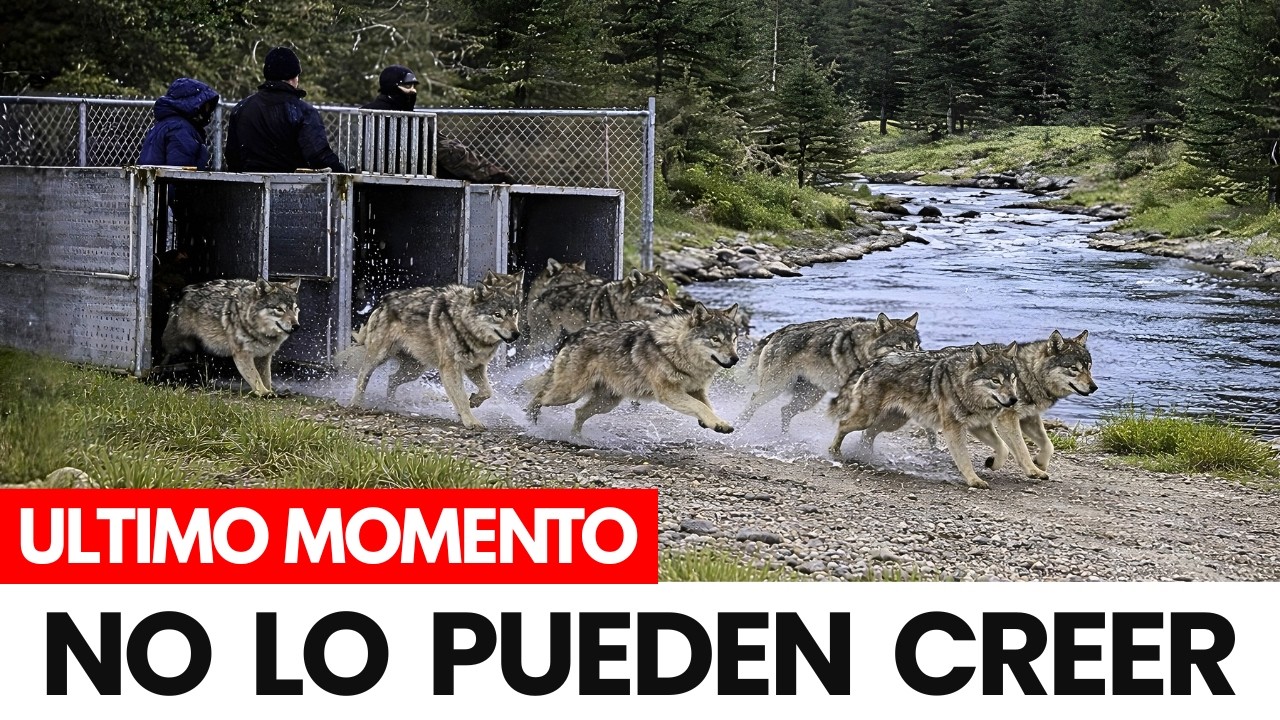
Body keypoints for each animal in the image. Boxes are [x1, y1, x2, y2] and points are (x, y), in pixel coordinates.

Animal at [159, 277, 302, 396]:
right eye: (279, 309)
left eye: (294, 308)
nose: (296, 326)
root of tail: (180, 293)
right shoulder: (242, 355)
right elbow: (255, 376)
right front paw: (264, 393)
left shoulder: (264, 356)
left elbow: (266, 377)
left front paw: (270, 390)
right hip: (174, 348)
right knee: (165, 362)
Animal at [345, 270, 524, 428]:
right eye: (497, 315)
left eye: (514, 314)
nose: (516, 334)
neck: (464, 324)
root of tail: (383, 302)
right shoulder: (450, 368)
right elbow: (461, 397)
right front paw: (470, 421)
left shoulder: (475, 368)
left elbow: (487, 391)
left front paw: (473, 402)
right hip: (380, 357)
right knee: (362, 376)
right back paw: (356, 404)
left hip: (415, 370)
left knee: (392, 378)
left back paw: (392, 403)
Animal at [525, 303, 741, 434]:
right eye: (716, 339)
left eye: (733, 339)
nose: (735, 359)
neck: (677, 350)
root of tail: (573, 336)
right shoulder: (669, 394)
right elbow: (699, 406)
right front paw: (715, 422)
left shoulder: (697, 390)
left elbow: (707, 406)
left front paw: (717, 422)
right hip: (569, 394)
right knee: (539, 396)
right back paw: (530, 422)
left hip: (606, 403)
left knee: (578, 413)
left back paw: (576, 439)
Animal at [738, 312, 921, 431]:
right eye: (899, 348)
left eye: (916, 346)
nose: (914, 359)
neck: (862, 350)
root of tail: (777, 333)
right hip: (774, 389)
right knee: (752, 403)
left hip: (809, 398)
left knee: (785, 411)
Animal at [827, 342, 1023, 489]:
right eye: (996, 381)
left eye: (1012, 379)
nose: (1014, 399)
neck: (962, 385)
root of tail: (875, 362)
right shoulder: (954, 428)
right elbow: (964, 458)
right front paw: (974, 480)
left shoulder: (980, 426)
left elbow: (1004, 448)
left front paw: (992, 463)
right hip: (867, 419)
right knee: (843, 424)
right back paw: (834, 451)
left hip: (891, 423)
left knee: (867, 434)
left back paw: (865, 455)